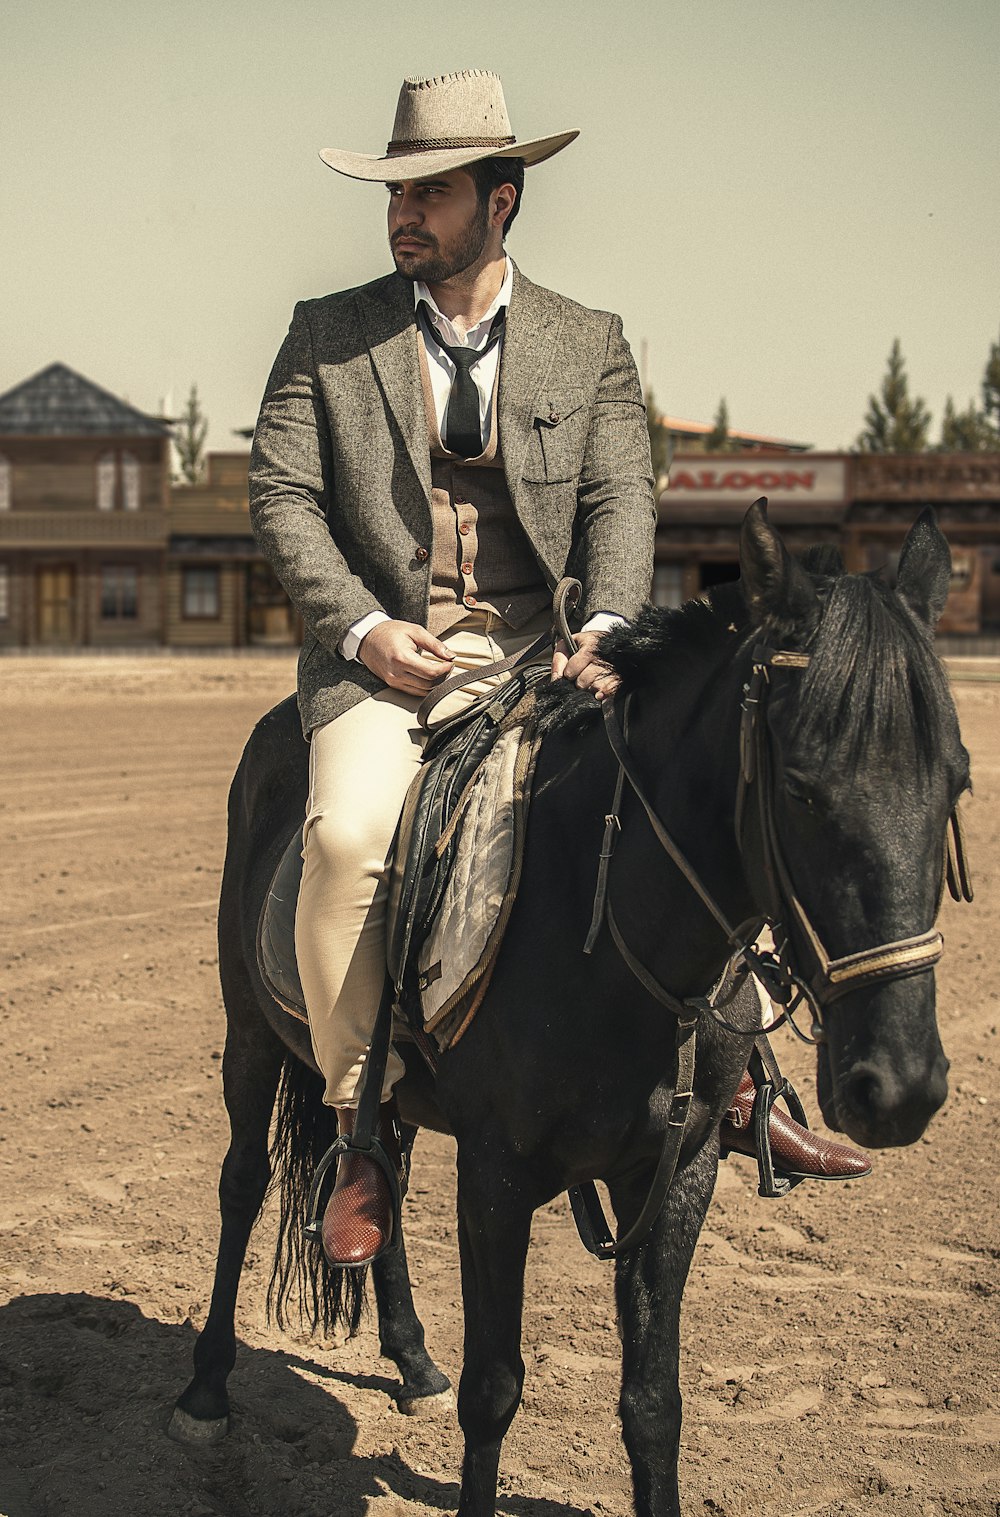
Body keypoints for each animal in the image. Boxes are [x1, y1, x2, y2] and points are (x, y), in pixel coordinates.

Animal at [172, 506, 971, 1517]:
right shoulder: (497, 1177)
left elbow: (654, 1401)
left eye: (956, 781)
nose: (900, 1087)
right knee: (243, 1181)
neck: (611, 928)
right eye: (800, 787)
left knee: (377, 1164)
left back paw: (410, 1353)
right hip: (248, 1037)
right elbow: (494, 1391)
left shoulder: (677, 1174)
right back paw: (205, 1388)